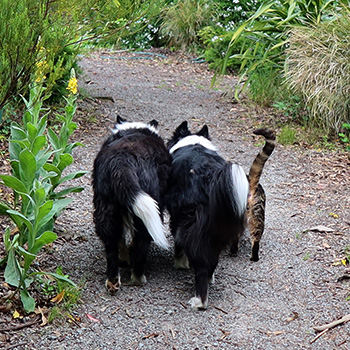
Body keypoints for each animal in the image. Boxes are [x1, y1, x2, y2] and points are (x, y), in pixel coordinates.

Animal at [91, 116, 171, 294]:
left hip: (106, 206)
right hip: (150, 206)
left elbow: (121, 240)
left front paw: (125, 258)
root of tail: (122, 160)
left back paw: (113, 280)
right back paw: (138, 278)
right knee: (142, 242)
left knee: (111, 243)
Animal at [165, 121, 249, 310]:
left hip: (192, 224)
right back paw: (210, 279)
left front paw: (180, 263)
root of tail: (210, 177)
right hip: (218, 230)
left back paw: (199, 301)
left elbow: (178, 243)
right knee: (212, 260)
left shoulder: (176, 217)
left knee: (201, 266)